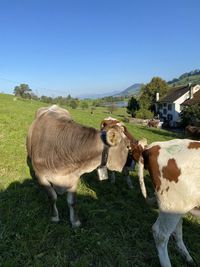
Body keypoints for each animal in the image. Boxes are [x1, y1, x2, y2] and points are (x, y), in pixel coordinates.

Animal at [134, 139, 200, 267]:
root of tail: (153, 146)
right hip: (173, 204)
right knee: (160, 234)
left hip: (178, 206)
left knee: (176, 230)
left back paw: (188, 257)